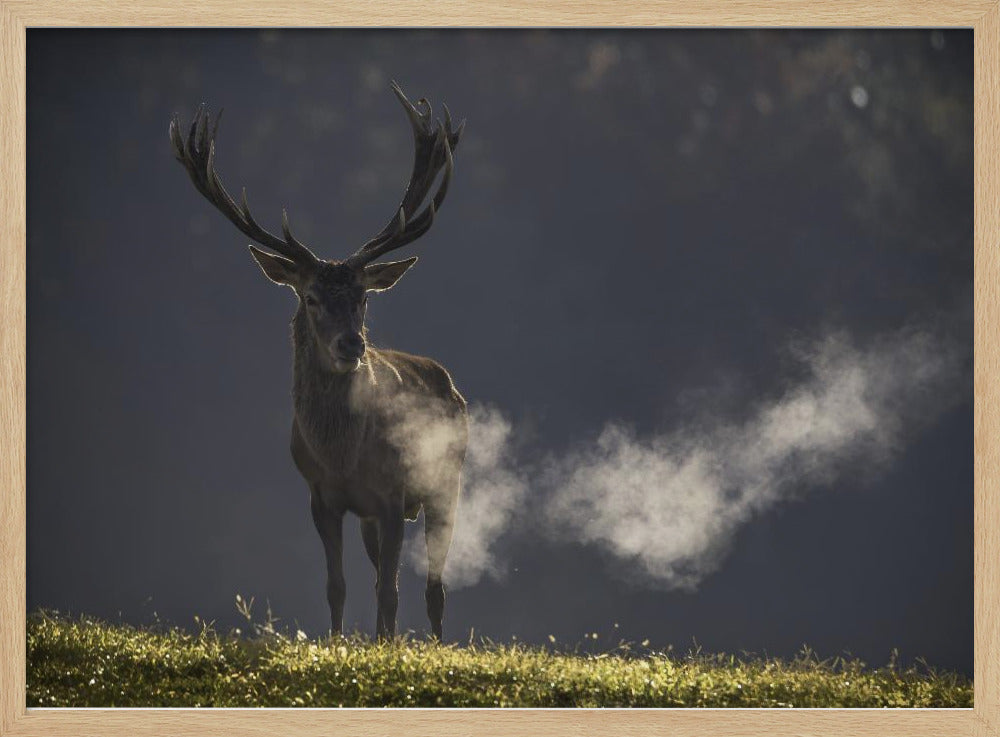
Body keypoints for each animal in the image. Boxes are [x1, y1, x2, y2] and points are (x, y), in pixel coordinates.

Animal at [169, 82, 468, 641]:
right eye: (310, 297)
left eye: (364, 298)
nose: (352, 346)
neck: (342, 455)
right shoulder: (321, 496)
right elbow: (340, 586)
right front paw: (339, 645)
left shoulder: (393, 495)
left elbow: (391, 591)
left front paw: (388, 649)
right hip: (378, 515)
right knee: (388, 577)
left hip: (446, 480)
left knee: (434, 586)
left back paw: (433, 644)